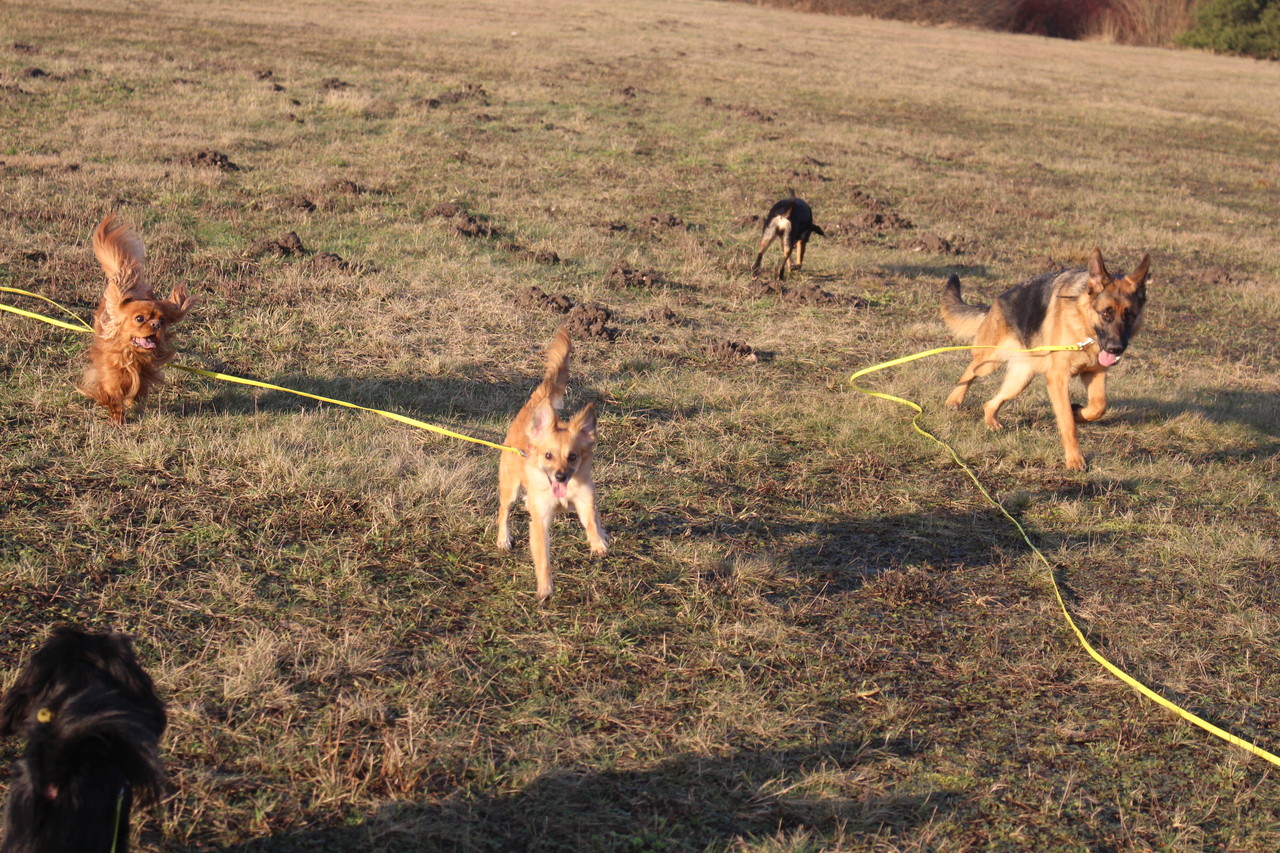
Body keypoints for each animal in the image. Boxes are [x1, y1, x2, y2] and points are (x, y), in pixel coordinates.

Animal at [79, 214, 196, 425]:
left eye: (162, 320)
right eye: (140, 318)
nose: (155, 324)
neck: (132, 355)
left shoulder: (145, 371)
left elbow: (139, 388)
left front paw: (132, 401)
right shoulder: (111, 372)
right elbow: (113, 393)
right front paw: (117, 418)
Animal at [496, 325, 608, 600]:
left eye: (573, 456)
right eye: (548, 456)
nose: (560, 476)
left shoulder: (585, 498)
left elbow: (592, 520)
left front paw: (598, 542)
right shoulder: (540, 521)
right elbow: (543, 559)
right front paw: (545, 589)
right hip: (510, 488)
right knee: (504, 511)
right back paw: (503, 539)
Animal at [941, 248, 1149, 471]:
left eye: (1129, 316)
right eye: (1105, 314)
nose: (1115, 348)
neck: (1084, 327)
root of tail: (995, 303)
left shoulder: (1096, 373)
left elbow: (1098, 406)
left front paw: (1078, 412)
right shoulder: (1058, 379)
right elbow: (1067, 422)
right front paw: (1075, 459)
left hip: (1021, 379)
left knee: (990, 402)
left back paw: (990, 421)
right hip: (990, 361)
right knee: (970, 369)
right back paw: (954, 399)